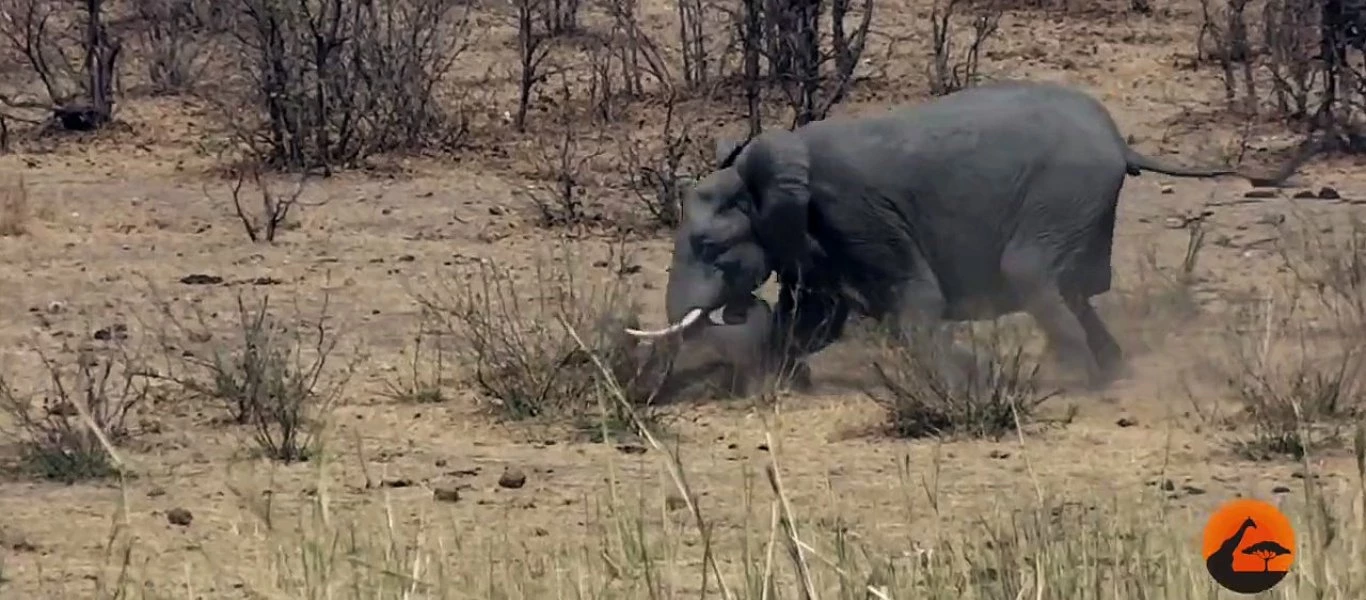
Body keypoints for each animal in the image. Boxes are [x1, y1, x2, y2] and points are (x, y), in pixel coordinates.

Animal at [625, 78, 1305, 390]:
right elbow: (817, 319)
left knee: (1032, 277)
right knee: (1073, 292)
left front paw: (946, 387)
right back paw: (1108, 374)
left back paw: (1076, 385)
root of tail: (1121, 142)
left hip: (1065, 191)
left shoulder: (853, 210)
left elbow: (912, 299)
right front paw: (780, 380)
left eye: (711, 249)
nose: (739, 307)